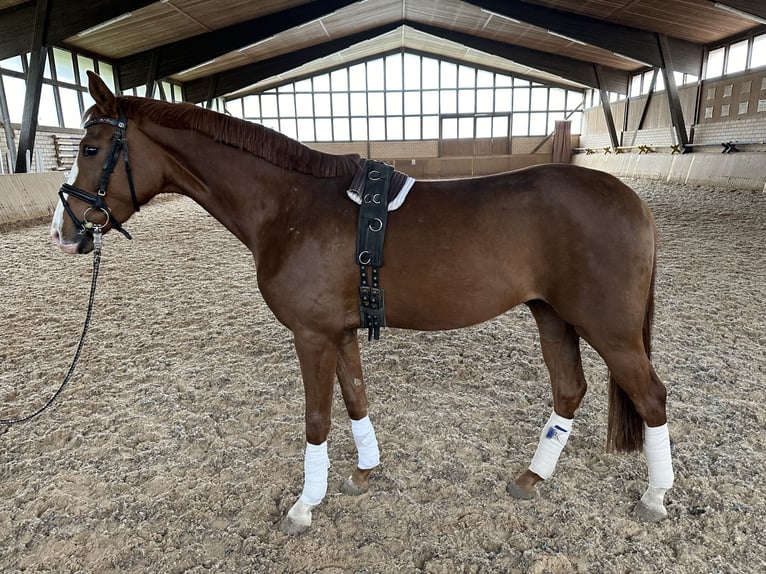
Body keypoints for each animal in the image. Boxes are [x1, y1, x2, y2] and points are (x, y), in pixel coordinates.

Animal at [51, 72, 676, 536]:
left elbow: (317, 417)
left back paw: (654, 497)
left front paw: (306, 504)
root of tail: (632, 201)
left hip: (609, 329)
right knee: (570, 389)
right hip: (553, 315)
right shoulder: (341, 331)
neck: (290, 206)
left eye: (91, 148)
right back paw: (532, 478)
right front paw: (364, 473)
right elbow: (354, 399)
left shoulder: (311, 334)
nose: (63, 231)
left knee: (650, 396)